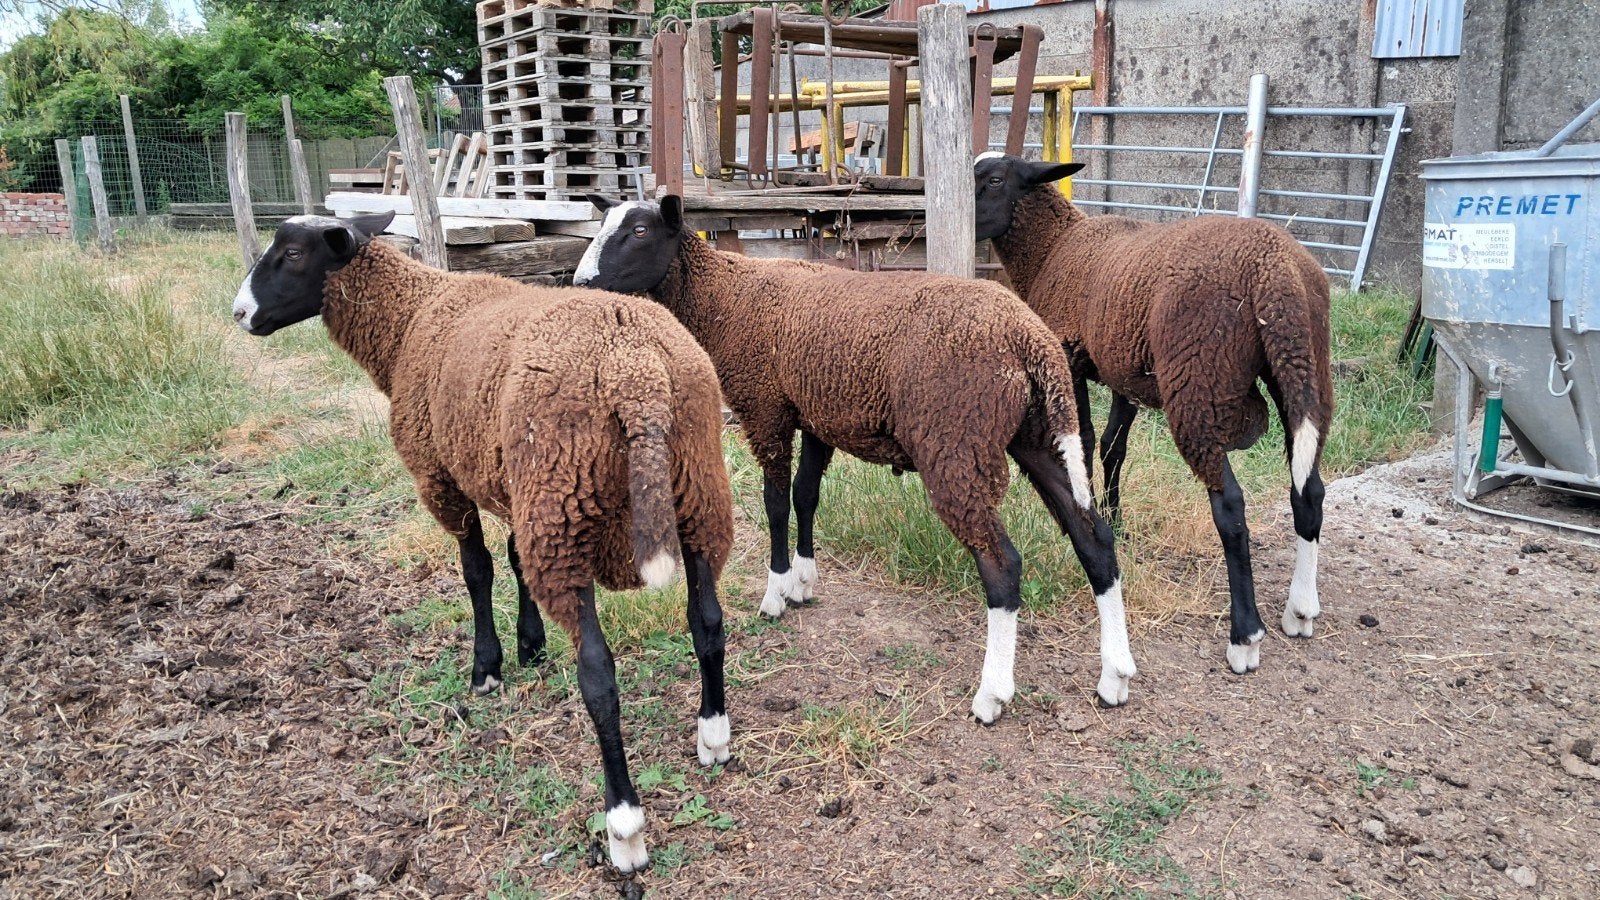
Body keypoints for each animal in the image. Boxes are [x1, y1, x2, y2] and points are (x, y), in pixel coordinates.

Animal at [229, 212, 735, 873]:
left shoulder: (444, 477)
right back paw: (713, 736)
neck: (409, 320)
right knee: (708, 624)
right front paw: (531, 645)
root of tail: (638, 374)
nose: (240, 312)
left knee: (599, 673)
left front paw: (488, 667)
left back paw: (624, 825)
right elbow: (516, 560)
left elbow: (478, 570)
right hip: (691, 493)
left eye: (291, 253)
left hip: (563, 499)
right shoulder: (508, 480)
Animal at [573, 194, 1136, 718]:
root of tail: (1028, 336)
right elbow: (805, 495)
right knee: (1094, 538)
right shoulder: (814, 414)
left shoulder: (765, 408)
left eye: (639, 230)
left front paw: (776, 592)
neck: (723, 297)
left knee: (1003, 564)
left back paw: (992, 693)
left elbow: (775, 502)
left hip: (955, 441)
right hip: (1034, 434)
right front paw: (803, 580)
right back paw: (1114, 676)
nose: (581, 283)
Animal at [973, 153, 1335, 676]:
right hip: (1304, 369)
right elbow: (1112, 447)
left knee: (1230, 505)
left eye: (996, 180)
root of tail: (1277, 267)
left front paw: (1093, 511)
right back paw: (1300, 609)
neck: (1053, 248)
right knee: (1309, 487)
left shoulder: (1069, 356)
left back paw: (1245, 637)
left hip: (1199, 382)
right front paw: (1116, 519)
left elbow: (1084, 443)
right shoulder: (1123, 368)